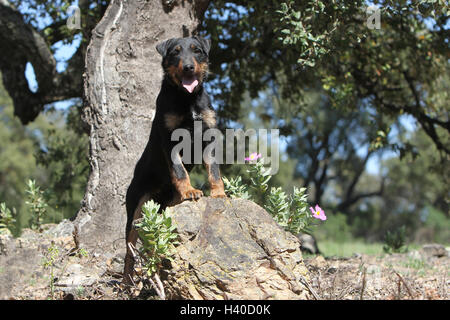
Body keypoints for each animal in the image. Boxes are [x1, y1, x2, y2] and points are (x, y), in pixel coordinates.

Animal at [122, 36, 225, 284]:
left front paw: (218, 193)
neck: (187, 99)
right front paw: (189, 191)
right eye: (175, 52)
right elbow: (179, 170)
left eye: (197, 51)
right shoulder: (169, 139)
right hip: (136, 209)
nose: (188, 67)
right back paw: (127, 282)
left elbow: (214, 170)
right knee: (129, 250)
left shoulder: (209, 136)